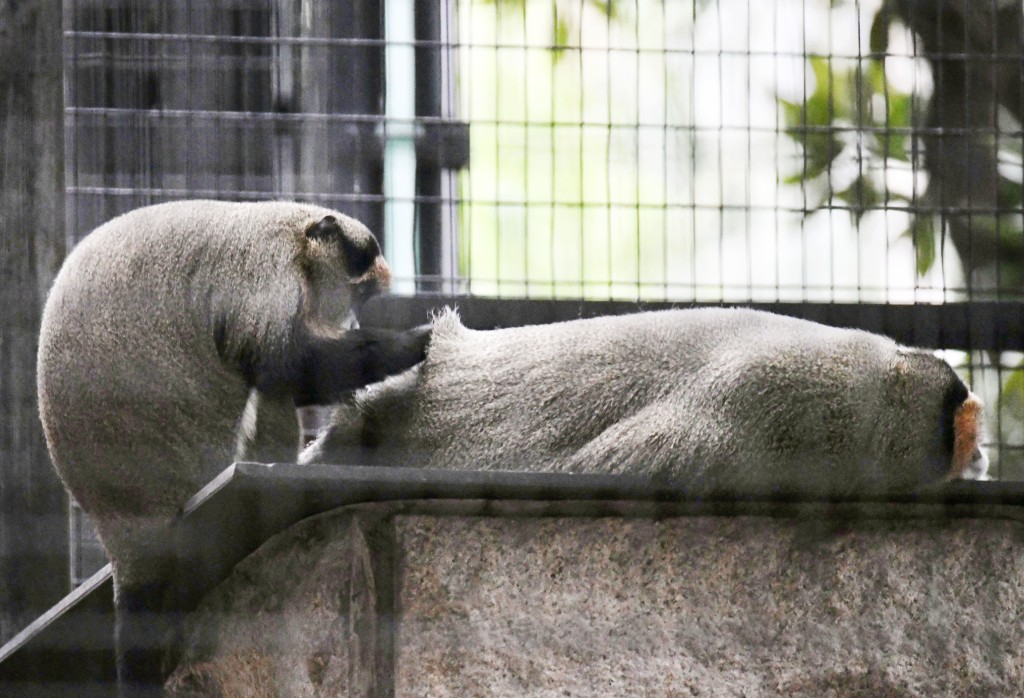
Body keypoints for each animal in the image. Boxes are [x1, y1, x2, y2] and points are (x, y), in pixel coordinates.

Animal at [37, 198, 430, 687]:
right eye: (356, 296)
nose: (354, 319)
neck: (290, 231)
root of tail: (123, 528)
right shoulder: (267, 273)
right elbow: (288, 363)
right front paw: (412, 344)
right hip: (203, 462)